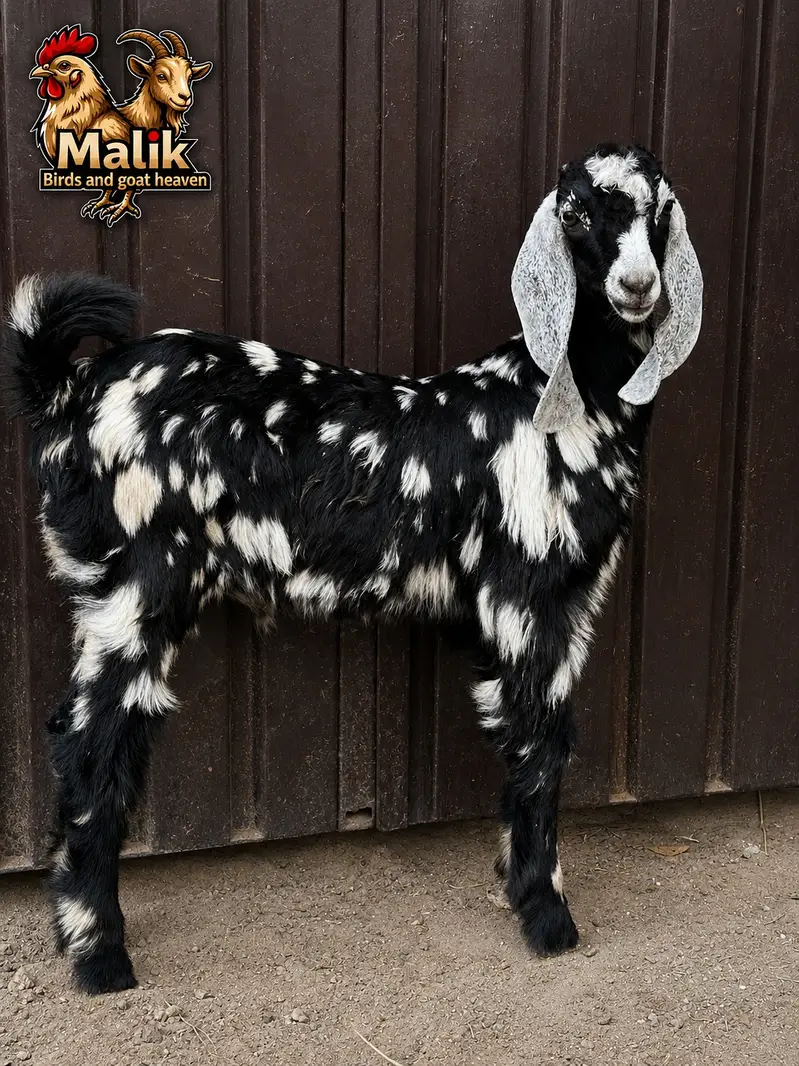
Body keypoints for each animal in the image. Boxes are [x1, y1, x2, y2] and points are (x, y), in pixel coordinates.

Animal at [2, 142, 702, 995]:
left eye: (659, 211)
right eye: (575, 215)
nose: (636, 286)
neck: (557, 398)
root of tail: (67, 392)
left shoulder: (553, 606)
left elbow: (531, 743)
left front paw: (519, 888)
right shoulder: (529, 596)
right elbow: (541, 744)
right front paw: (546, 918)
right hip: (137, 579)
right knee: (91, 746)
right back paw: (100, 954)